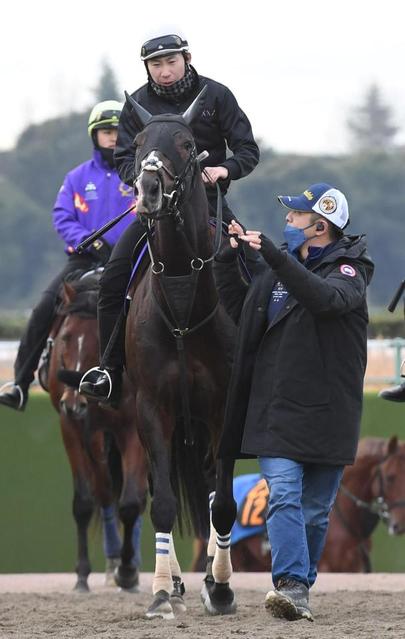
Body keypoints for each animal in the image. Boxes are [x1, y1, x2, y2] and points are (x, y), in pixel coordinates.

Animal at [47, 272, 148, 592]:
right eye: (66, 337)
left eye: (100, 338)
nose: (73, 401)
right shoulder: (75, 427)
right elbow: (86, 500)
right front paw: (82, 573)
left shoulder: (133, 427)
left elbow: (131, 502)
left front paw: (128, 571)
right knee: (104, 490)